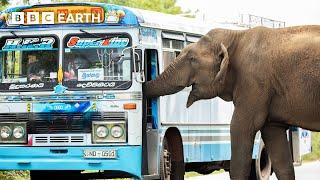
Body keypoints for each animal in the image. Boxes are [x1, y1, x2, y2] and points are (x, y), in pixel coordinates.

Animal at [145, 25, 320, 180]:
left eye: (192, 59)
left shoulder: (253, 83)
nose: (141, 82)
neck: (236, 36)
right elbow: (274, 136)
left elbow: (240, 127)